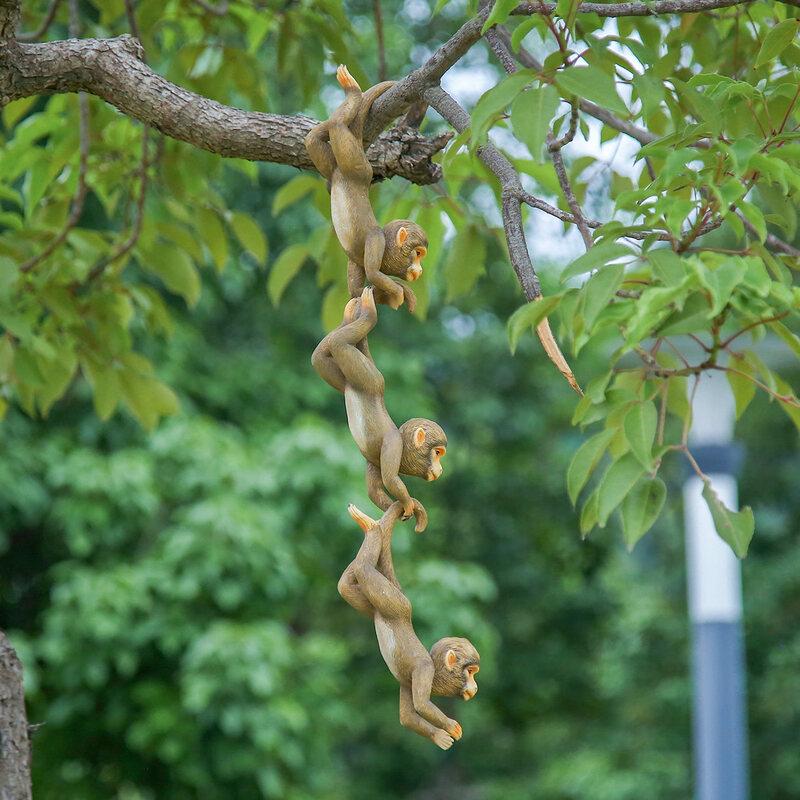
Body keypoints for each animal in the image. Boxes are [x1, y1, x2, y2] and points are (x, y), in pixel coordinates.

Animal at [304, 64, 428, 312]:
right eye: (417, 254)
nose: (419, 271)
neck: (387, 247)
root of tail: (341, 175)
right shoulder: (375, 242)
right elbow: (373, 272)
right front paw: (399, 293)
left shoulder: (356, 261)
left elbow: (356, 291)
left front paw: (396, 293)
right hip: (359, 168)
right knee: (339, 129)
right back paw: (353, 92)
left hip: (334, 168)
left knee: (314, 139)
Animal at [311, 287, 446, 533]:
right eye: (438, 453)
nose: (440, 469)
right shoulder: (393, 445)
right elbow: (391, 480)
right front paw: (408, 503)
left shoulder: (374, 460)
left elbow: (374, 490)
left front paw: (403, 508)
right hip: (369, 378)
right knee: (340, 344)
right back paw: (368, 313)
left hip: (346, 379)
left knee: (321, 354)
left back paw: (349, 315)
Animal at [338, 501, 480, 749]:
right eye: (470, 672)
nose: (475, 686)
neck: (435, 671)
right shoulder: (423, 670)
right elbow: (422, 705)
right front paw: (450, 727)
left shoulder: (407, 682)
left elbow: (407, 716)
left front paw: (439, 736)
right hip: (397, 604)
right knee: (365, 569)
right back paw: (372, 528)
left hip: (376, 606)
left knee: (346, 585)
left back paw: (369, 527)